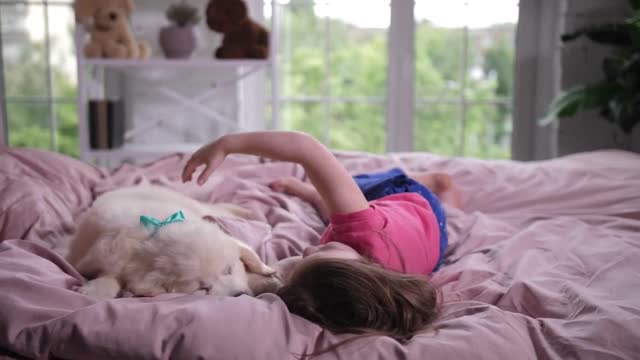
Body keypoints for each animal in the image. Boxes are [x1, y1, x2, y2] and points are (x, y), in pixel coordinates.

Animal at [66, 186, 278, 298]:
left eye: (228, 270)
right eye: (202, 288)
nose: (239, 296)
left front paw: (266, 274)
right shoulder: (105, 257)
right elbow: (109, 277)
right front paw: (95, 290)